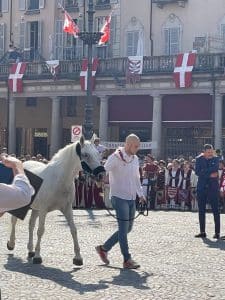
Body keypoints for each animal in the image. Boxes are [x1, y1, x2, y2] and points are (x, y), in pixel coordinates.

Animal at [7, 137, 104, 266]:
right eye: (86, 155)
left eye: (98, 153)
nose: (101, 175)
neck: (60, 179)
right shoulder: (43, 209)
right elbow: (40, 230)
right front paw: (38, 256)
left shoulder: (67, 209)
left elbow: (73, 230)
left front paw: (78, 258)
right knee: (14, 221)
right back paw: (11, 244)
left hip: (35, 208)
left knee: (31, 224)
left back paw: (30, 250)